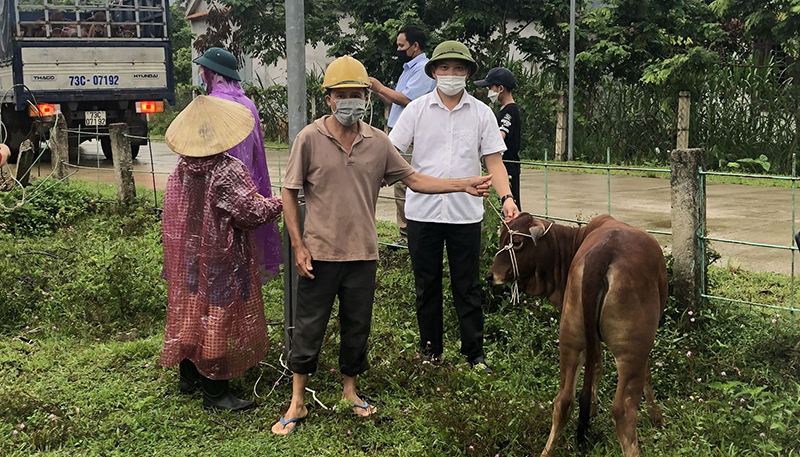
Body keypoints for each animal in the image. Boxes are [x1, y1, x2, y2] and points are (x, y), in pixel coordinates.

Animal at [488, 214, 668, 456]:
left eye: (516, 242)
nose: (490, 275)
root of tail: (602, 253)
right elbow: (645, 373)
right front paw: (656, 416)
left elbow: (596, 366)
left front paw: (591, 408)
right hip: (632, 347)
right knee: (623, 409)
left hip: (570, 336)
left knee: (563, 399)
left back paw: (547, 450)